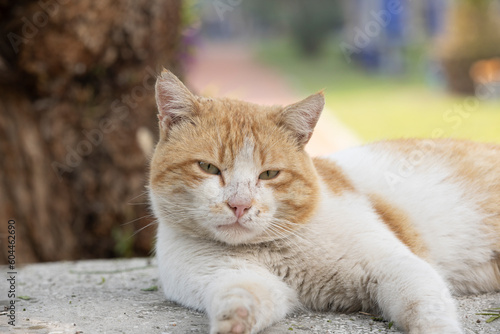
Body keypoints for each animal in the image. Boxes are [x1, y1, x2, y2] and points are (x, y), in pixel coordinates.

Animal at [148, 70, 500, 334]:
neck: (273, 249)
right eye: (208, 168)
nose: (240, 205)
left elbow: (424, 307)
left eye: (269, 174)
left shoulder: (395, 266)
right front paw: (233, 322)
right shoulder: (237, 279)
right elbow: (241, 298)